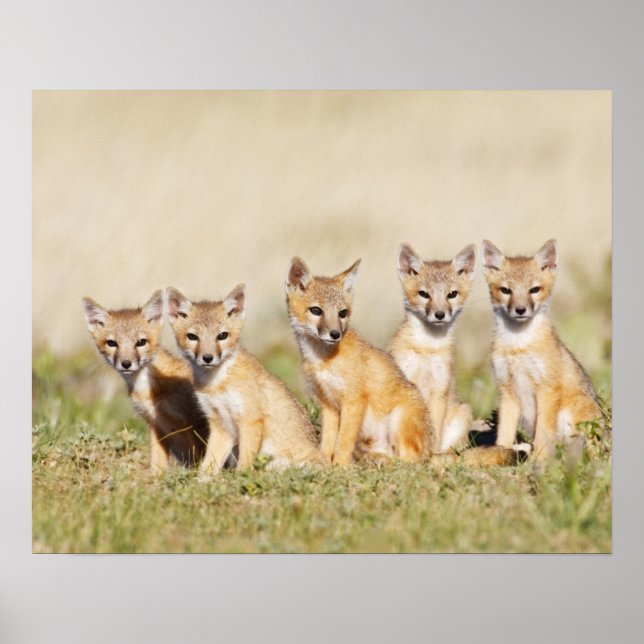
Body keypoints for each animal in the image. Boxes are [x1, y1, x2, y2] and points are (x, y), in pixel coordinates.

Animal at [82, 291, 210, 474]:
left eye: (141, 342)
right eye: (112, 343)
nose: (126, 363)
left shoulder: (192, 423)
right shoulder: (156, 426)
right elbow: (157, 464)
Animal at [166, 284, 324, 475]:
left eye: (222, 336)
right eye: (192, 337)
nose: (208, 358)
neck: (217, 384)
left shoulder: (250, 419)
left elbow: (245, 463)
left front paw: (241, 476)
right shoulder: (220, 424)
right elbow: (208, 465)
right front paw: (202, 480)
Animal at [286, 256, 431, 465]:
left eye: (342, 313)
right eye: (316, 310)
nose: (335, 334)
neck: (322, 359)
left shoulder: (354, 400)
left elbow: (343, 442)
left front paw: (340, 466)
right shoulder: (328, 404)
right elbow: (327, 443)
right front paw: (326, 465)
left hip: (400, 417)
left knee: (409, 461)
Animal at [389, 242, 477, 454]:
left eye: (451, 294)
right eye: (424, 294)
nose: (439, 314)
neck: (426, 348)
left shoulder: (439, 390)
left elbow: (434, 430)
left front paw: (430, 454)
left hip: (464, 411)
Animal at [482, 239, 603, 462]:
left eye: (534, 290)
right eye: (506, 290)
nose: (520, 310)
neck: (518, 345)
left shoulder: (548, 389)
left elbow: (543, 434)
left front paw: (539, 460)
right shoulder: (506, 391)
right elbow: (504, 433)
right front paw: (500, 454)